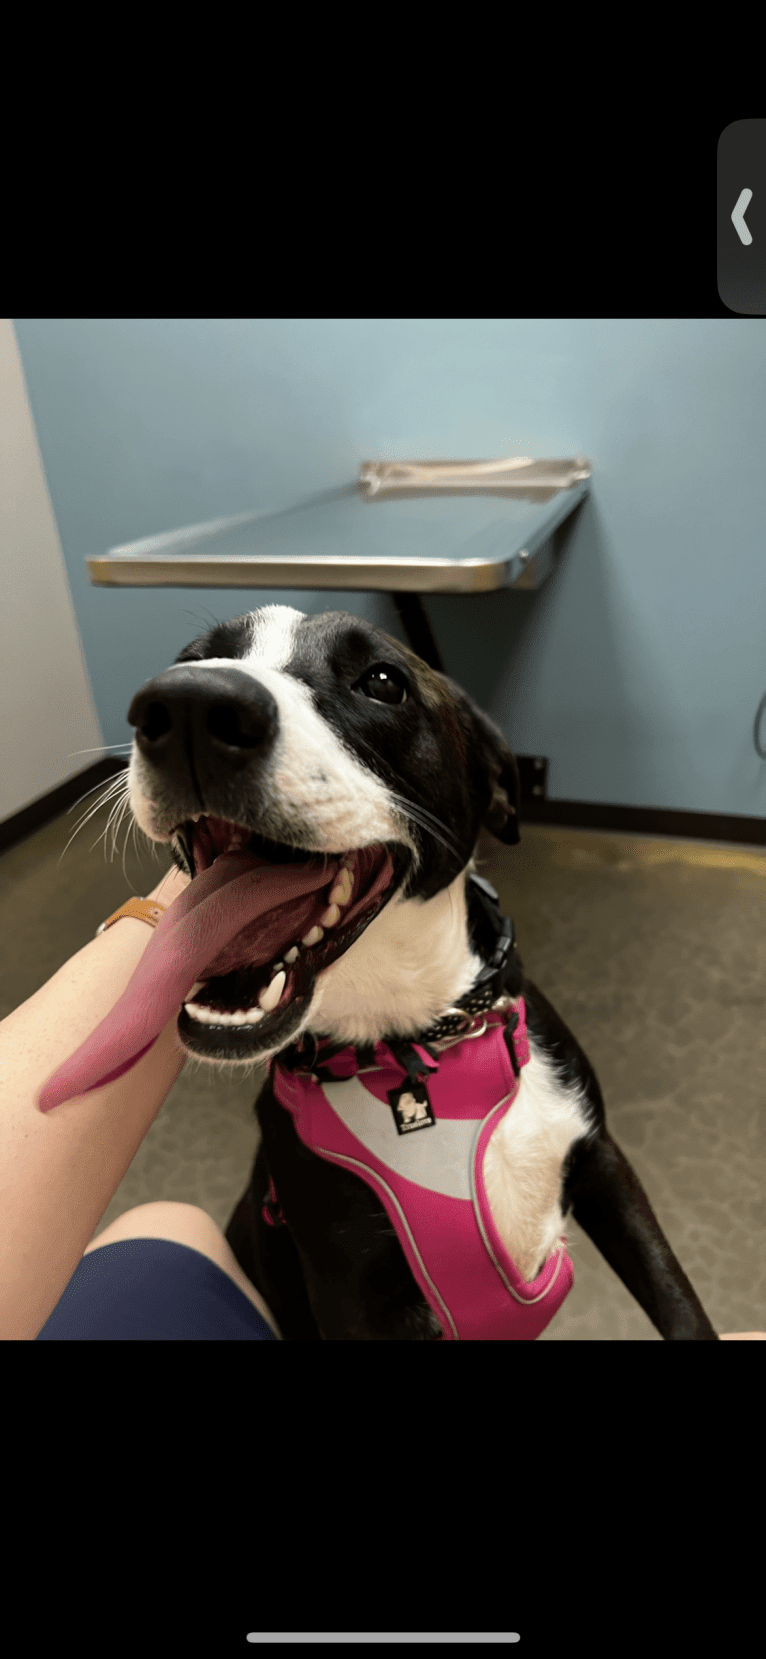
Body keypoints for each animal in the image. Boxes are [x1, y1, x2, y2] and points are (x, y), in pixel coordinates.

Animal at [126, 603, 719, 1340]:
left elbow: (679, 1301)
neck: (416, 1038)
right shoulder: (351, 1293)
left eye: (383, 682)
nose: (188, 703)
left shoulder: (605, 1160)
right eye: (191, 658)